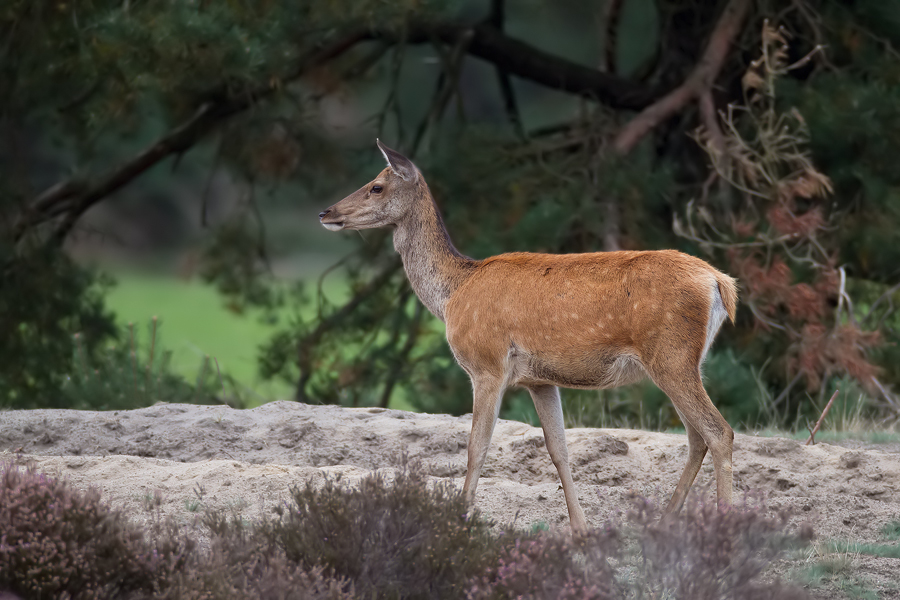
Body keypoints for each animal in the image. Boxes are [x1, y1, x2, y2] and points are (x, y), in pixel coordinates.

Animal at [318, 141, 740, 536]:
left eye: (376, 186)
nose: (325, 212)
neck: (453, 292)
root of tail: (720, 282)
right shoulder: (540, 379)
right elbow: (559, 450)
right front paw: (581, 528)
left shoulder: (487, 364)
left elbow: (476, 447)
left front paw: (460, 520)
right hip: (685, 360)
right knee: (696, 436)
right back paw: (664, 522)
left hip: (671, 354)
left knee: (718, 431)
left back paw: (722, 523)